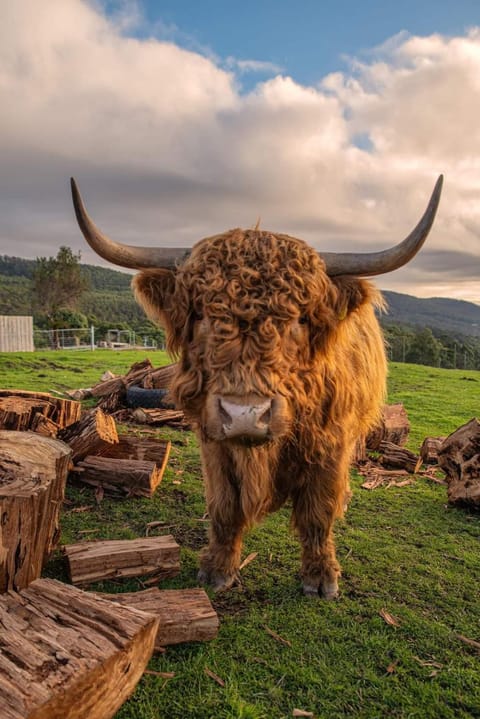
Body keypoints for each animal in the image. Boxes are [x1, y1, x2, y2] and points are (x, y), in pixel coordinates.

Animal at [70, 177, 442, 600]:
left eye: (299, 318)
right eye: (201, 314)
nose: (245, 415)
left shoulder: (331, 443)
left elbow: (318, 512)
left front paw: (321, 577)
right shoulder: (214, 442)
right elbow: (225, 507)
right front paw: (218, 569)